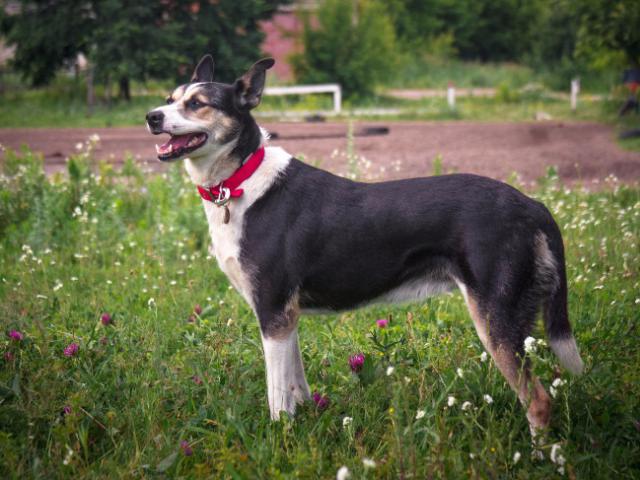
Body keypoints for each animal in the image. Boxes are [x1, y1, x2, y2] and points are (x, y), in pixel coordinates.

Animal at [146, 55, 584, 438]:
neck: (240, 181)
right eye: (170, 98)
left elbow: (278, 400)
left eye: (197, 104)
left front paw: (280, 441)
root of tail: (531, 204)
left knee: (539, 401)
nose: (151, 117)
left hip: (497, 318)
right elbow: (297, 387)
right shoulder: (287, 318)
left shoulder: (272, 313)